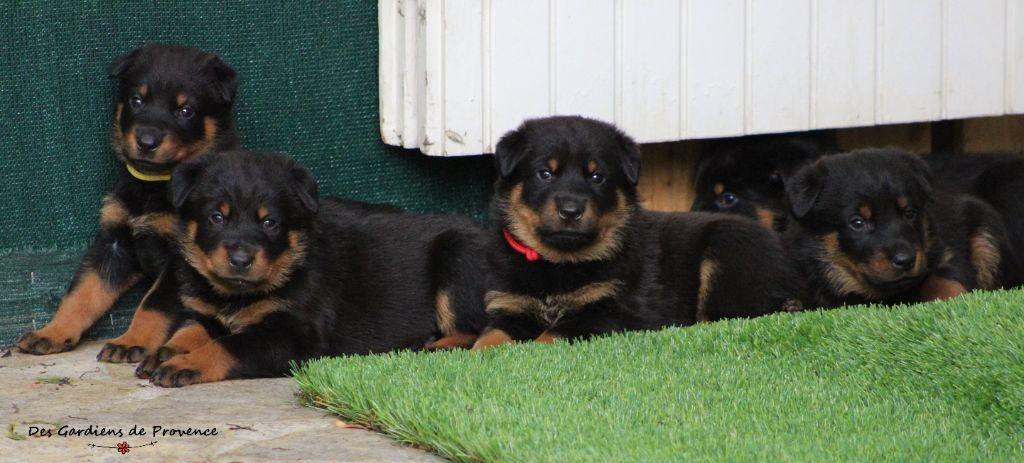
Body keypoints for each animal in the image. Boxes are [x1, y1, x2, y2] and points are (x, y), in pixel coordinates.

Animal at [16, 44, 239, 362]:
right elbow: (82, 293)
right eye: (137, 100)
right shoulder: (114, 243)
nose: (146, 141)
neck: (153, 185)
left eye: (186, 111)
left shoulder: (180, 260)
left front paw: (131, 342)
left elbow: (152, 305)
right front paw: (53, 332)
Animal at [137, 151, 487, 387]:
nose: (240, 260)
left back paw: (426, 347)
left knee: (474, 330)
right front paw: (165, 351)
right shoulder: (209, 314)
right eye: (216, 218)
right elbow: (191, 329)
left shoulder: (295, 335)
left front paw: (186, 363)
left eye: (270, 222)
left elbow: (229, 346)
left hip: (459, 257)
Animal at [468, 114, 798, 348]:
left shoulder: (613, 313)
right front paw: (478, 355)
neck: (558, 265)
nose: (571, 211)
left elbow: (551, 336)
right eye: (545, 174)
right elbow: (489, 337)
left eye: (597, 177)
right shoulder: (510, 307)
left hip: (727, 250)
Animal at [782, 148, 1007, 307]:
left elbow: (941, 279)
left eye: (910, 213)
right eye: (857, 223)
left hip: (984, 232)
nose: (906, 260)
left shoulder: (946, 253)